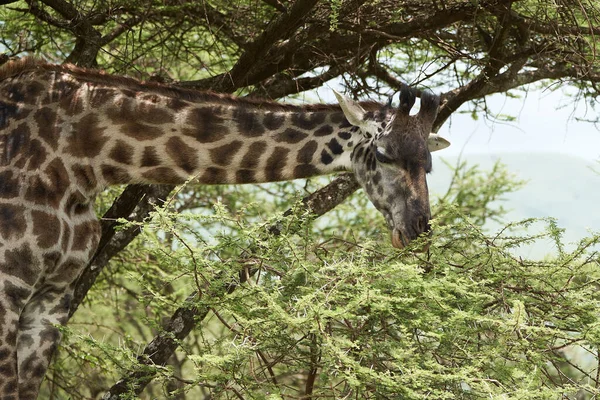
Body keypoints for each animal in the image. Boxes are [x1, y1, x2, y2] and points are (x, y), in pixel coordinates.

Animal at [0, 57, 450, 398]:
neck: (83, 161)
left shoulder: (54, 295)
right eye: (383, 154)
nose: (417, 228)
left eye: (428, 164)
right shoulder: (9, 284)